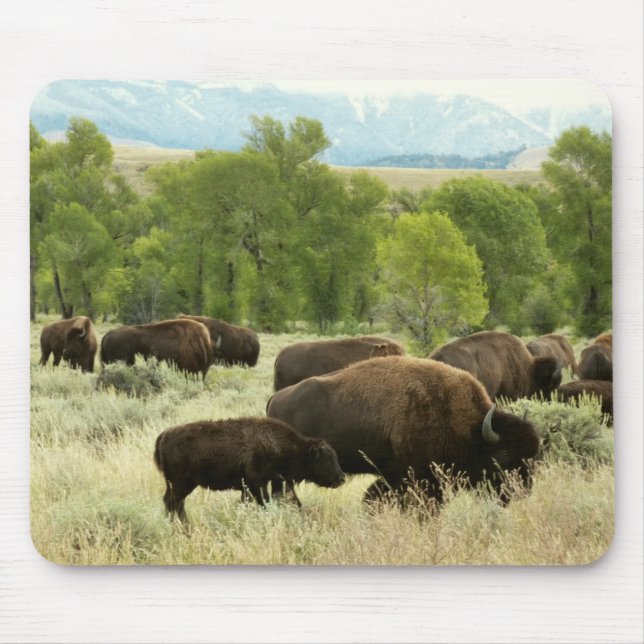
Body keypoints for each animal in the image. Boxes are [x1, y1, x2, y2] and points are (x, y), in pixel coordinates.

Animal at [153, 417, 346, 522]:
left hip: (179, 485)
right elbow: (264, 503)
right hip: (182, 484)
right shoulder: (257, 484)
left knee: (173, 503)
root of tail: (164, 435)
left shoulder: (260, 485)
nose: (341, 478)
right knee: (173, 503)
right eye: (327, 458)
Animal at [267, 356, 540, 504]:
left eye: (533, 457)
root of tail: (275, 399)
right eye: (503, 456)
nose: (523, 491)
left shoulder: (397, 475)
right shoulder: (419, 476)